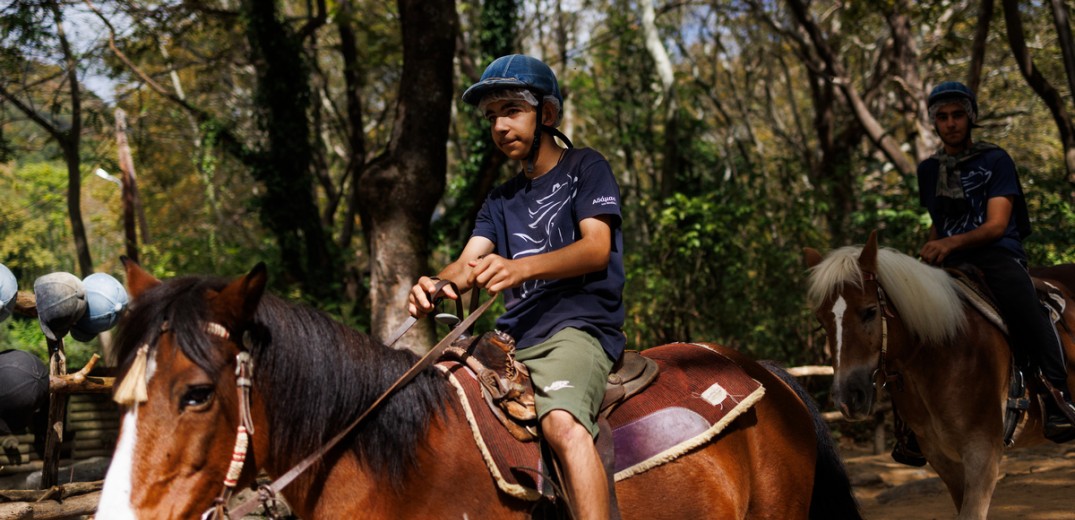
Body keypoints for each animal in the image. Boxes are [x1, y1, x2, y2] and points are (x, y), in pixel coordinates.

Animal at [808, 232, 1075, 520]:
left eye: (870, 311)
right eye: (821, 321)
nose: (847, 397)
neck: (944, 353)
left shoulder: (984, 453)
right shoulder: (941, 457)